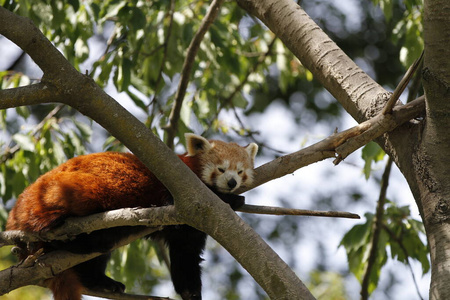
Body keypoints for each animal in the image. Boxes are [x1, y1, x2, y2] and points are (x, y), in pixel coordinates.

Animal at [5, 135, 258, 300]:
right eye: (221, 169)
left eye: (240, 171)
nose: (232, 182)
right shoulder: (180, 192)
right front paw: (233, 200)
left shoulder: (193, 222)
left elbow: (186, 253)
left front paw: (191, 291)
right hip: (66, 191)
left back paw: (101, 281)